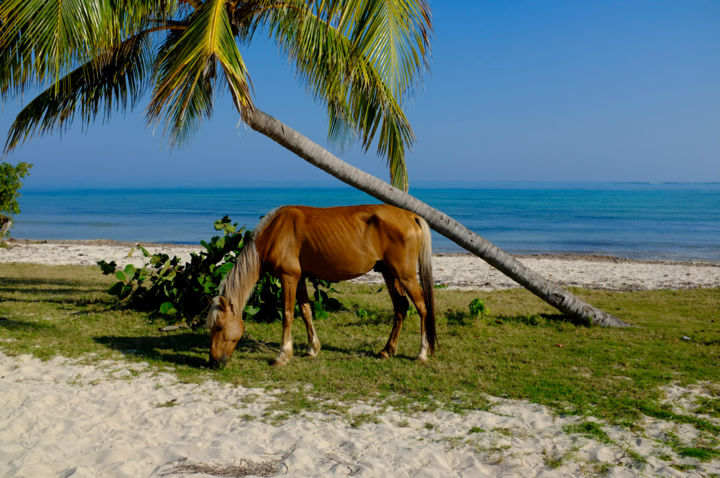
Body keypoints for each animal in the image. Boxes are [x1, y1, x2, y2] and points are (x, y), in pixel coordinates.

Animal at [205, 204, 436, 368]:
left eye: (219, 327)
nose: (213, 362)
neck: (275, 232)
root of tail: (410, 216)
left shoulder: (288, 277)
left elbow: (288, 314)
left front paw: (283, 355)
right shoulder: (299, 278)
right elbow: (306, 311)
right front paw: (312, 349)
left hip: (405, 275)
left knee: (422, 308)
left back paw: (422, 353)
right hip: (389, 274)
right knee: (401, 308)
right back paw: (387, 350)